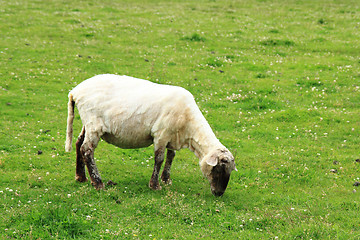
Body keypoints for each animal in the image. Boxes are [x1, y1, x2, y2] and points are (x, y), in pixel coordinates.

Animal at [65, 74, 236, 196]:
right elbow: (159, 158)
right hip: (94, 124)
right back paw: (98, 183)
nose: (219, 193)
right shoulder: (161, 134)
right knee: (87, 150)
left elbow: (171, 156)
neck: (188, 128)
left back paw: (81, 177)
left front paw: (166, 179)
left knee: (78, 143)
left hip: (87, 124)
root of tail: (75, 91)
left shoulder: (172, 136)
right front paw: (155, 185)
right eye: (219, 169)